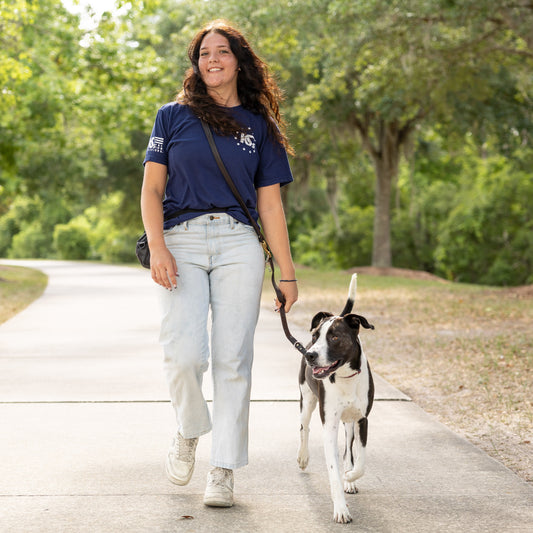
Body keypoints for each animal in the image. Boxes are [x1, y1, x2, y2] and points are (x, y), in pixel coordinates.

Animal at [296, 274, 374, 524]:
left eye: (335, 337)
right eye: (315, 336)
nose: (310, 355)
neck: (345, 377)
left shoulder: (362, 420)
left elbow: (360, 461)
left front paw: (350, 477)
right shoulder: (329, 424)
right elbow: (333, 471)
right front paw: (340, 508)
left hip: (349, 422)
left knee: (348, 449)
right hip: (306, 400)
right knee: (304, 428)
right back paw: (303, 457)